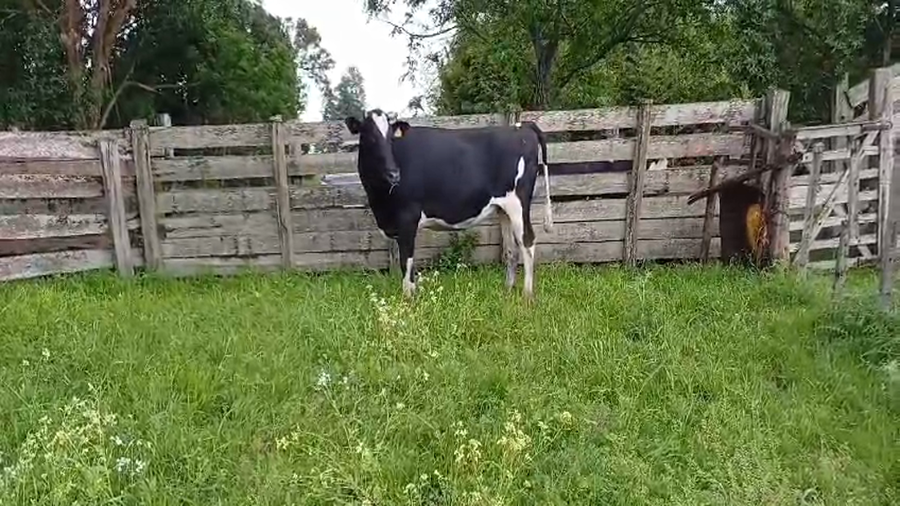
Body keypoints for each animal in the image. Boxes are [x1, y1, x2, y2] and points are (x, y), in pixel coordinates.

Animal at [344, 109, 553, 299]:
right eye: (369, 136)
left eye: (390, 138)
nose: (394, 174)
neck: (380, 203)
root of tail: (521, 126)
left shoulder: (408, 218)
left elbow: (407, 261)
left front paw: (409, 299)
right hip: (503, 209)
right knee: (511, 249)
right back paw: (507, 291)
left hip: (519, 203)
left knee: (528, 242)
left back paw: (527, 295)